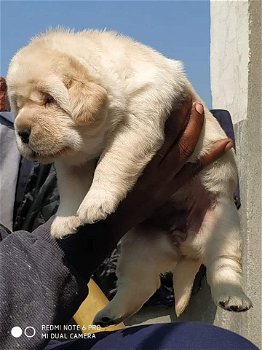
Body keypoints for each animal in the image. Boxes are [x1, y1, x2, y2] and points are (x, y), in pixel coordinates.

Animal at [6, 29, 252, 326]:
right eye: (17, 105)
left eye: (48, 99)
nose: (21, 131)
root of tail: (184, 248)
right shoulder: (70, 160)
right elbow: (70, 189)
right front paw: (65, 221)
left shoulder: (138, 122)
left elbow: (112, 162)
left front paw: (94, 203)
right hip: (138, 247)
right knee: (142, 284)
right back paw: (109, 314)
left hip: (223, 223)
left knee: (223, 265)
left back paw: (234, 298)